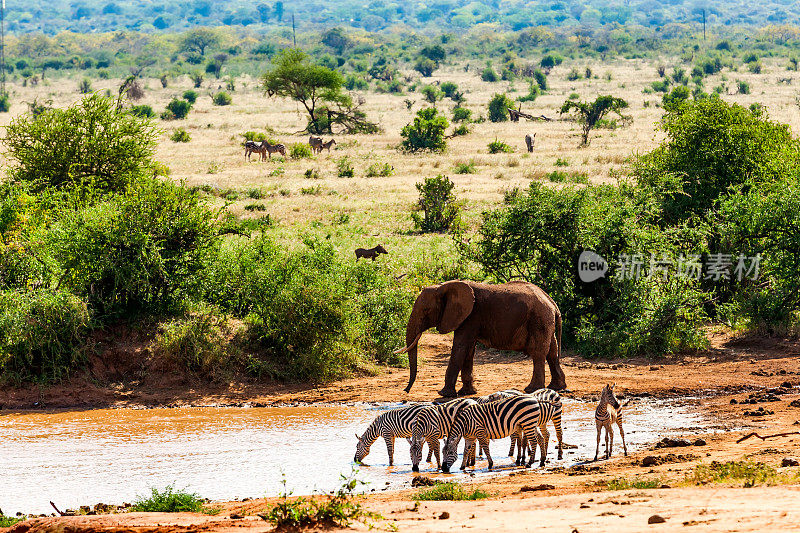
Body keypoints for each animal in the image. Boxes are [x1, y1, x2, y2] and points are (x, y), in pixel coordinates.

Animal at [396, 280, 564, 396]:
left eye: (426, 311)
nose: (406, 390)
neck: (444, 286)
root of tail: (553, 303)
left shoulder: (471, 316)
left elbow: (460, 347)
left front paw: (444, 394)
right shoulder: (467, 318)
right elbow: (468, 351)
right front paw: (467, 392)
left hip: (539, 319)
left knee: (538, 353)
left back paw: (532, 389)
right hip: (545, 320)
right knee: (552, 352)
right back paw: (557, 387)